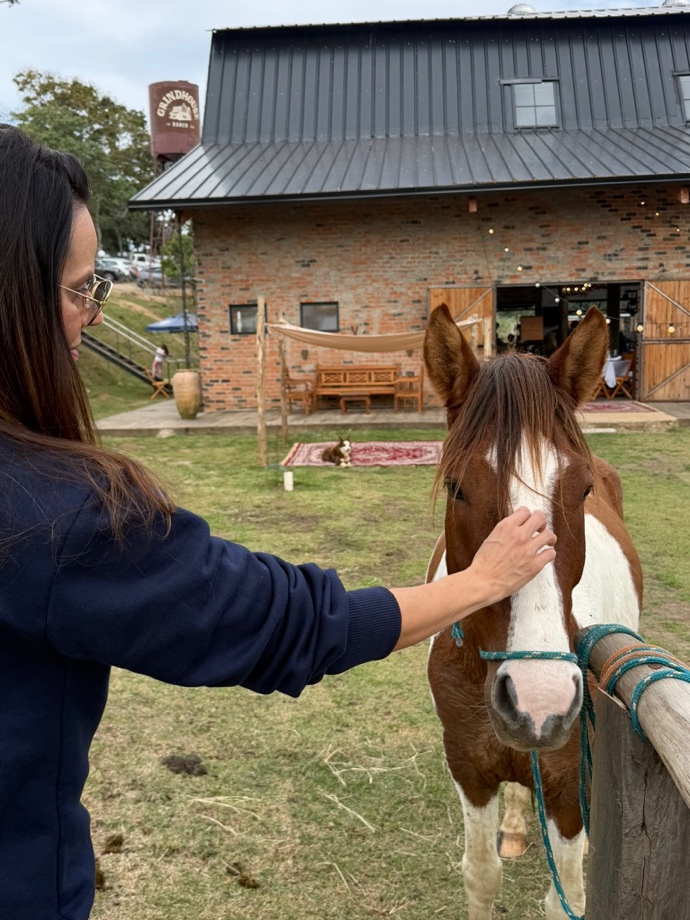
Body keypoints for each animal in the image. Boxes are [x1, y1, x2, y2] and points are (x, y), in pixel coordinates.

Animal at [423, 304, 642, 920]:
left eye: (582, 488)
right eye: (457, 487)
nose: (538, 700)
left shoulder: (569, 784)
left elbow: (566, 896)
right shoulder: (467, 765)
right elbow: (480, 875)